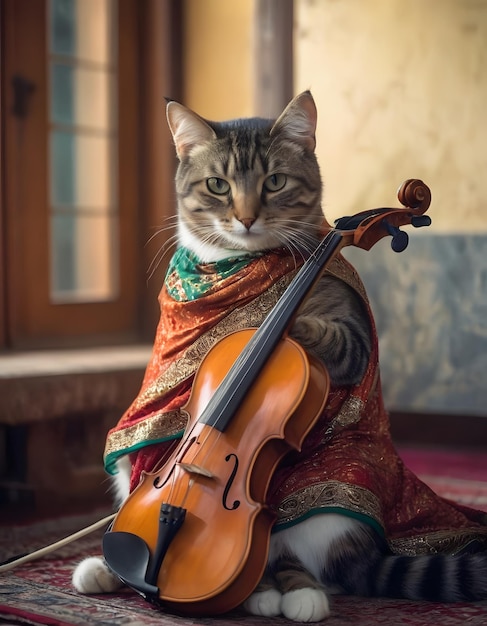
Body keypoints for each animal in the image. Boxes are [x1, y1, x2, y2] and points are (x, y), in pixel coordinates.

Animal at [70, 91, 486, 620]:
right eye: (218, 186)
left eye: (275, 182)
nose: (247, 218)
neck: (233, 262)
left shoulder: (351, 333)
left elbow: (327, 333)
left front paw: (273, 323)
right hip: (139, 473)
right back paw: (113, 568)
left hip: (325, 505)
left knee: (302, 562)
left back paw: (285, 594)